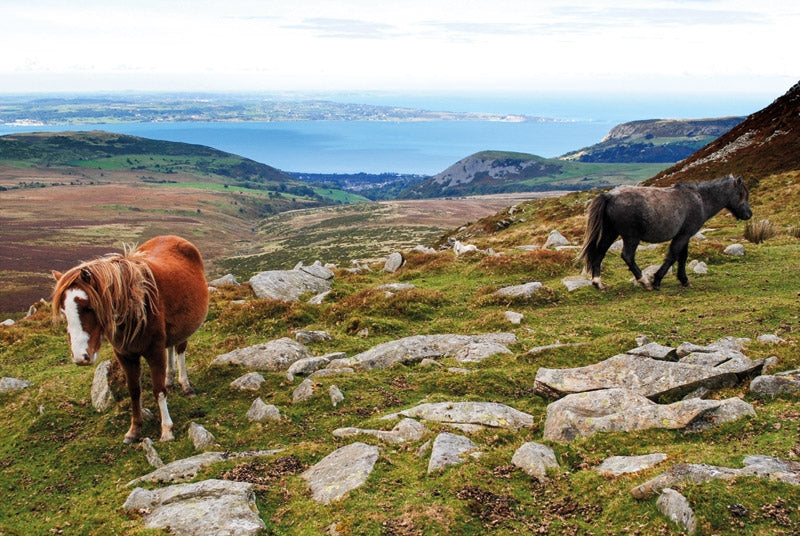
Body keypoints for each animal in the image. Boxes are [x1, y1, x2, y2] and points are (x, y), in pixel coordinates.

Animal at [52, 235, 208, 444]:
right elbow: (134, 391)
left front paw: (166, 430)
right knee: (170, 348)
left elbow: (158, 391)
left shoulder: (154, 352)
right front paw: (134, 430)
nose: (80, 357)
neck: (136, 306)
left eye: (88, 307)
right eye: (63, 310)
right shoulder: (125, 355)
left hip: (185, 328)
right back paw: (170, 379)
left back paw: (185, 386)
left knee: (180, 350)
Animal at [578, 175, 752, 291]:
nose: (749, 214)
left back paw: (598, 283)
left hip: (611, 233)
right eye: (741, 194)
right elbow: (673, 256)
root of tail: (609, 196)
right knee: (627, 256)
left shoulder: (684, 236)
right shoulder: (683, 235)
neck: (700, 199)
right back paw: (644, 281)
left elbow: (682, 257)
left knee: (599, 252)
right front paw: (657, 281)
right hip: (631, 236)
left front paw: (683, 280)